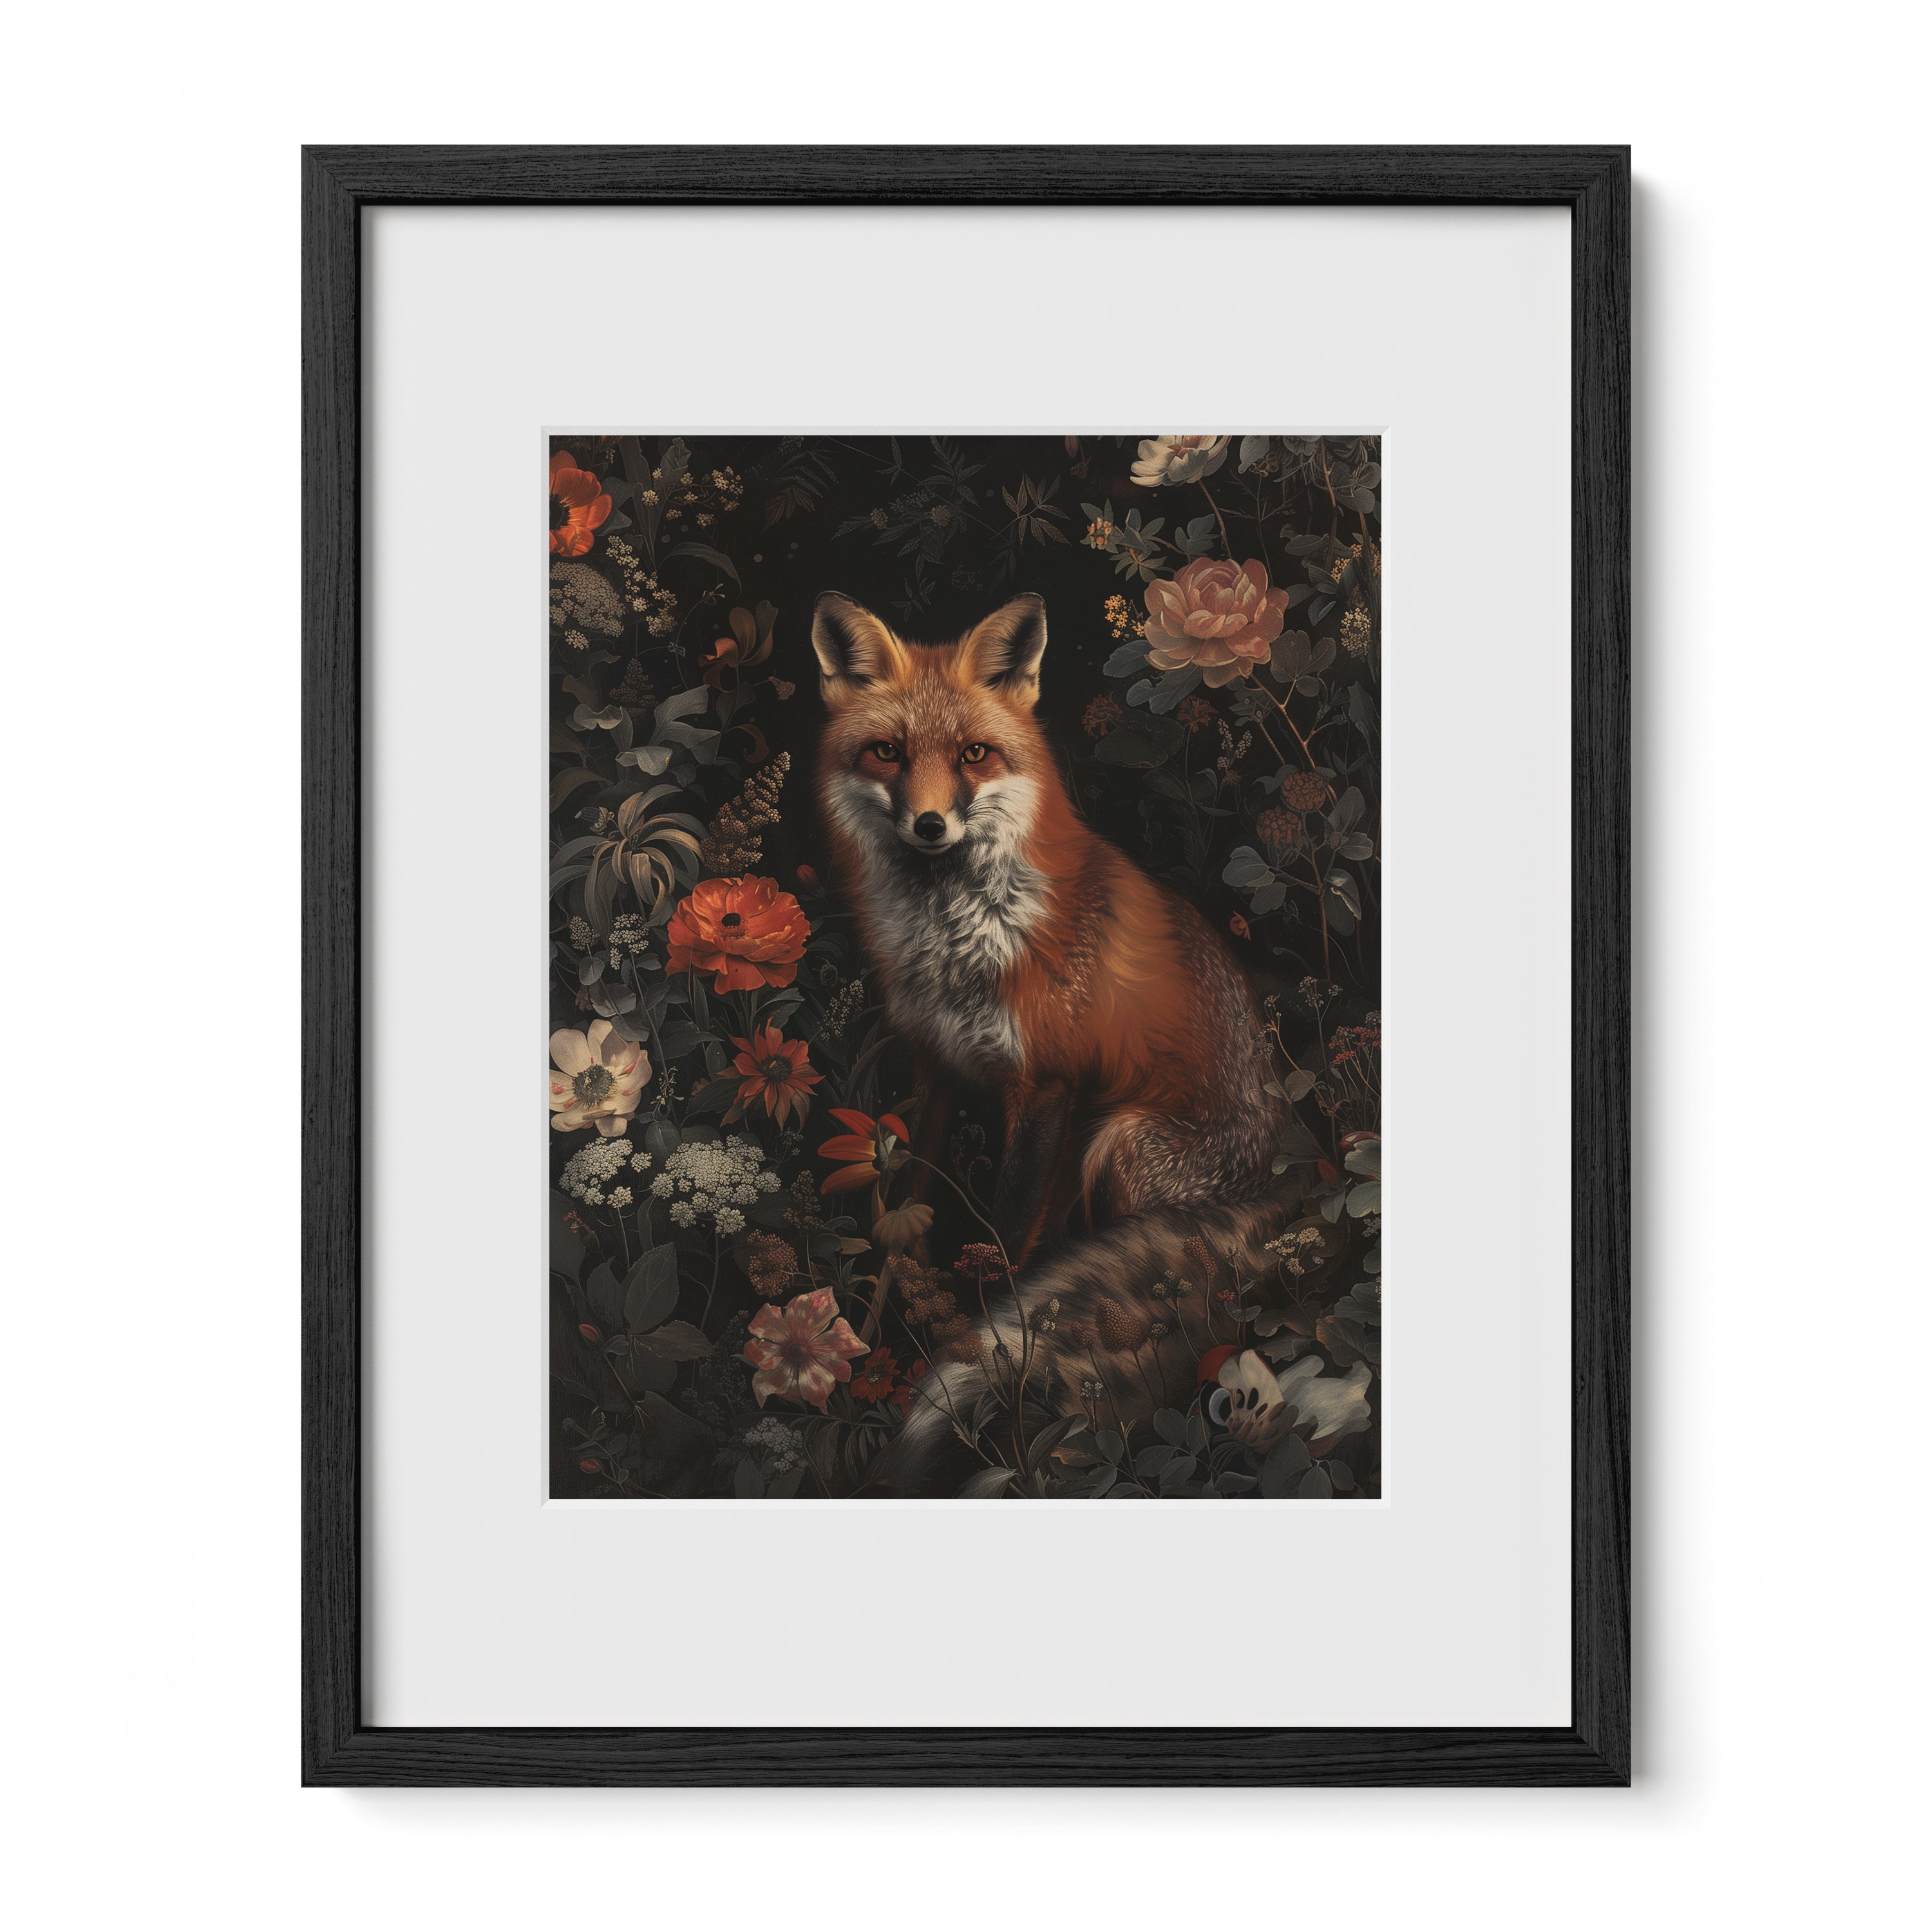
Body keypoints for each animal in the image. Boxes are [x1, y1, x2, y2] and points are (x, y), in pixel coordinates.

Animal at [809, 590, 1320, 1494]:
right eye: (887, 752)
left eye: (974, 755)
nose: (931, 824)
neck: (960, 940)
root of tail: (1294, 1169)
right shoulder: (934, 1070)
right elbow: (902, 1224)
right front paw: (867, 1345)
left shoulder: (1047, 1087)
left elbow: (1008, 1246)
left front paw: (976, 1355)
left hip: (1120, 1143)